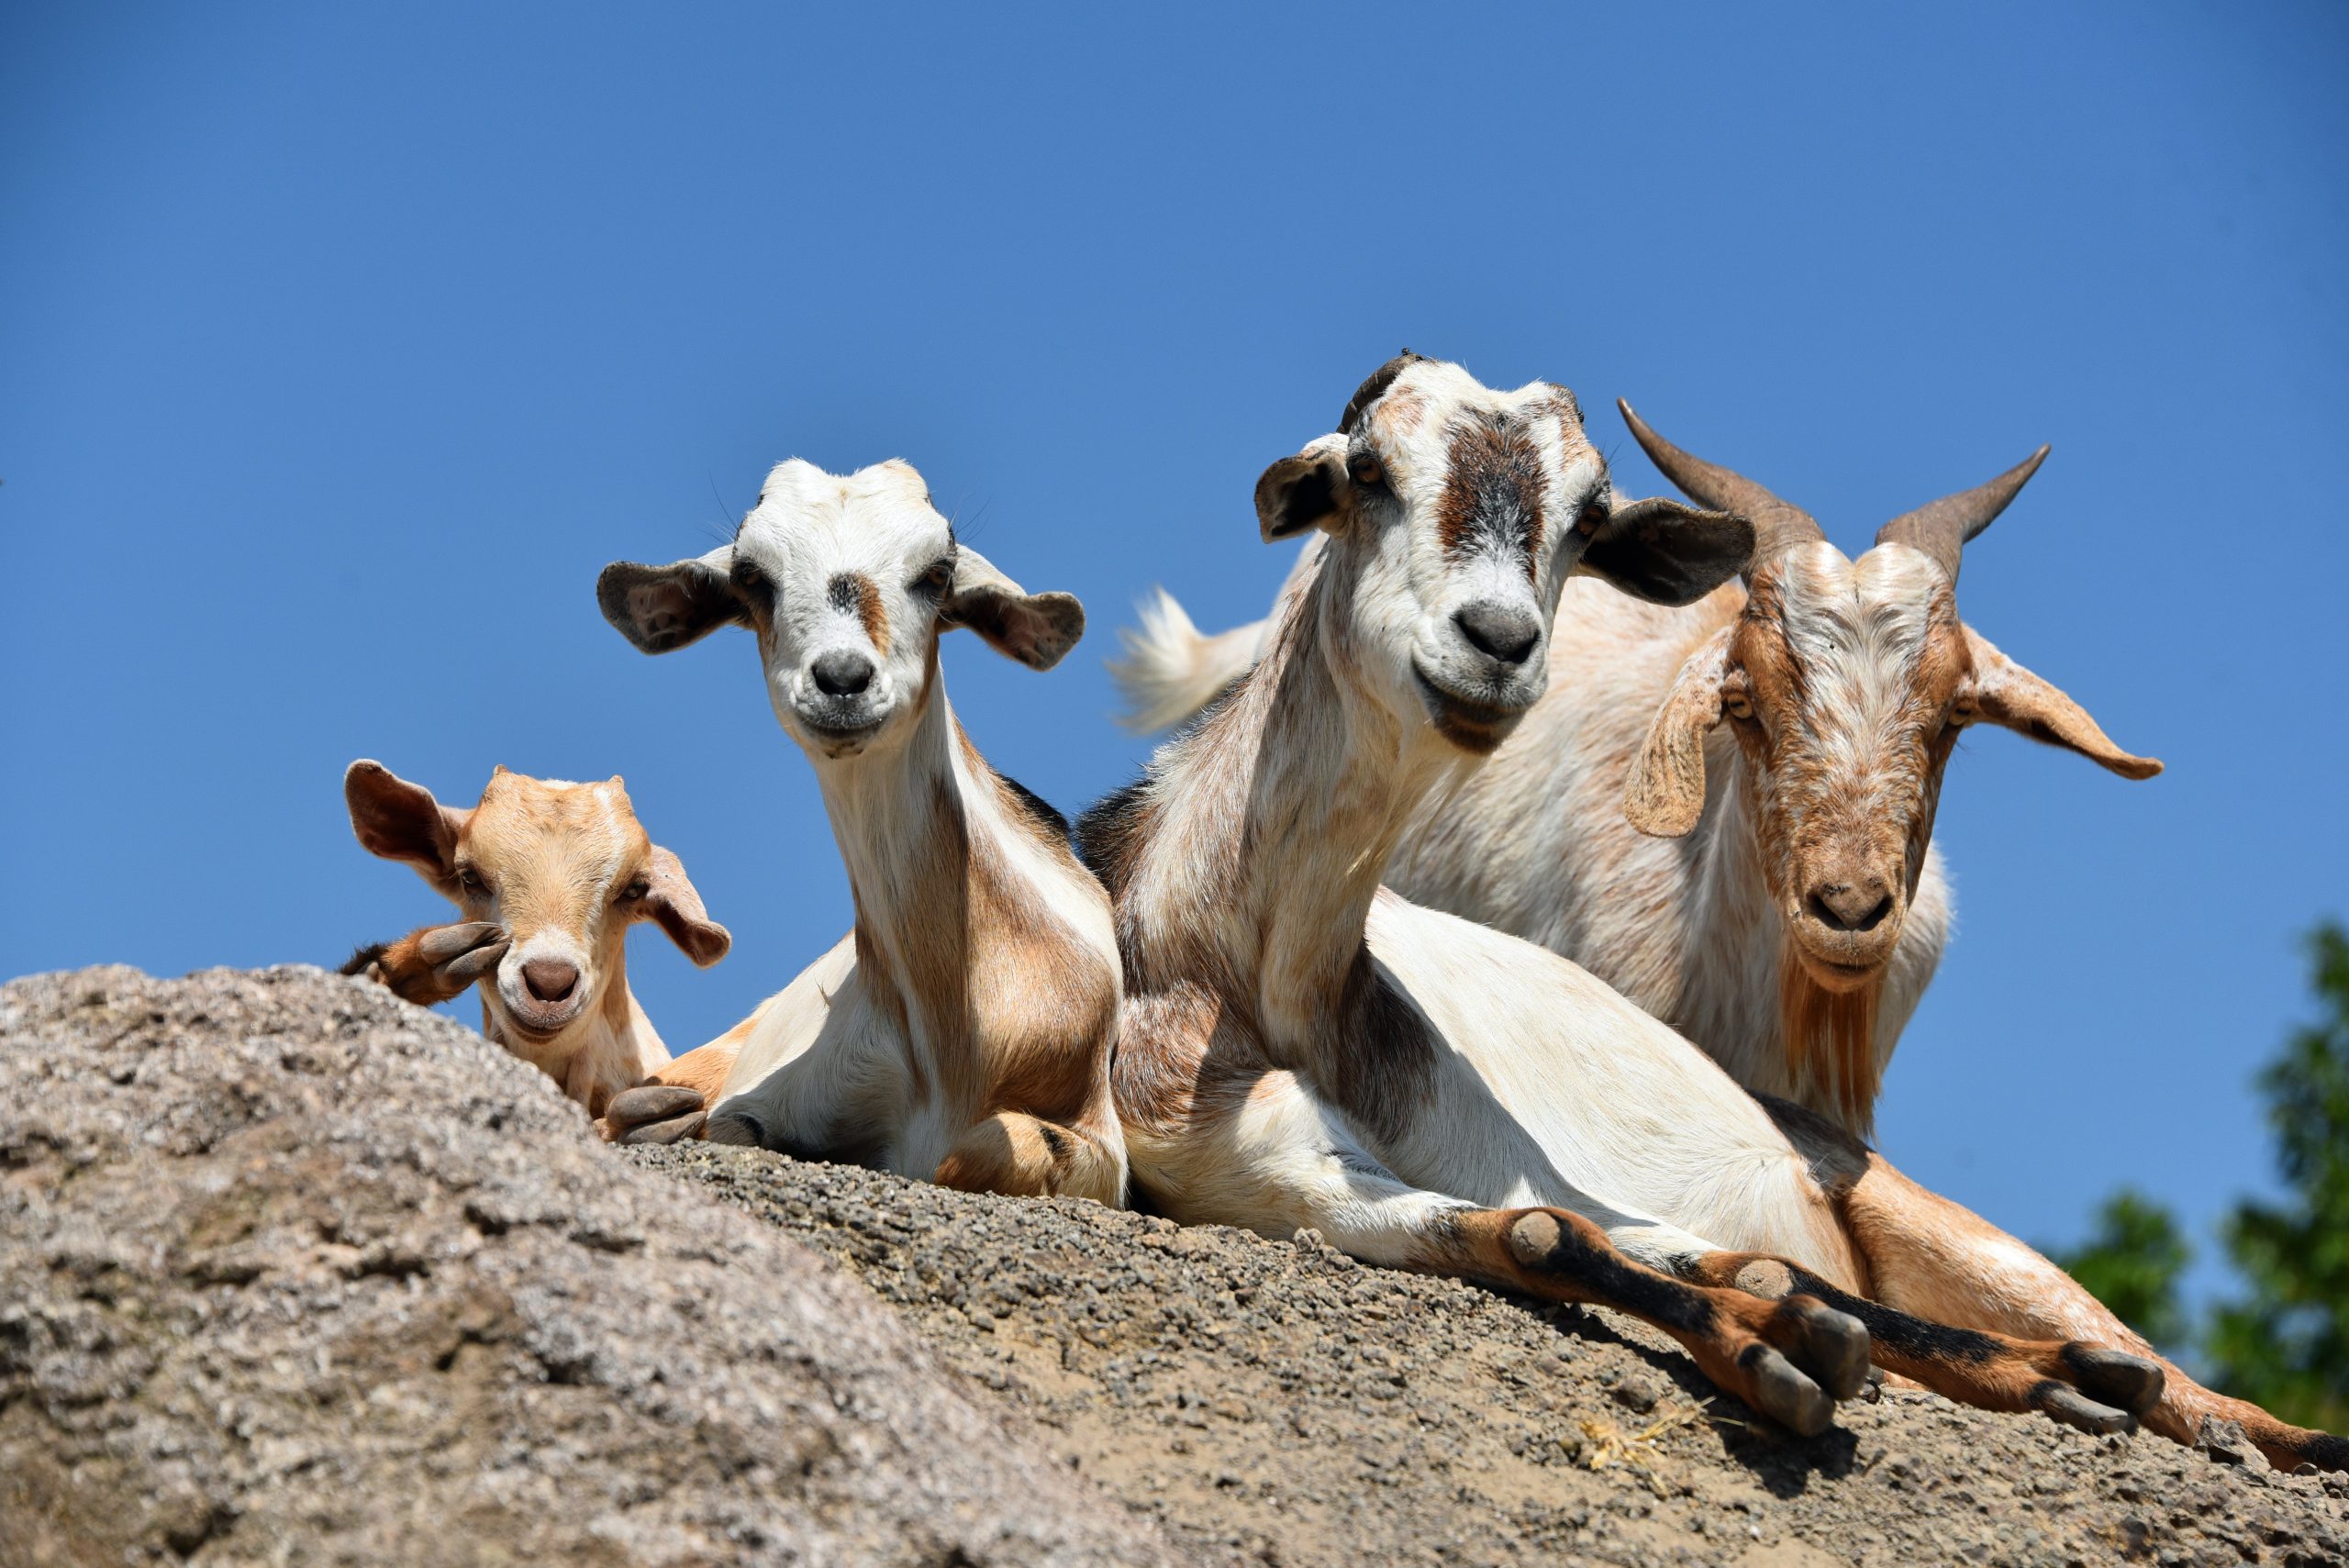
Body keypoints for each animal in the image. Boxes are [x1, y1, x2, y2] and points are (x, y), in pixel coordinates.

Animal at [594, 458, 1127, 1205]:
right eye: (752, 575)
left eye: (937, 571)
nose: (842, 679)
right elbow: (733, 1127)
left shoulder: (1101, 1144)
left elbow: (977, 1153)